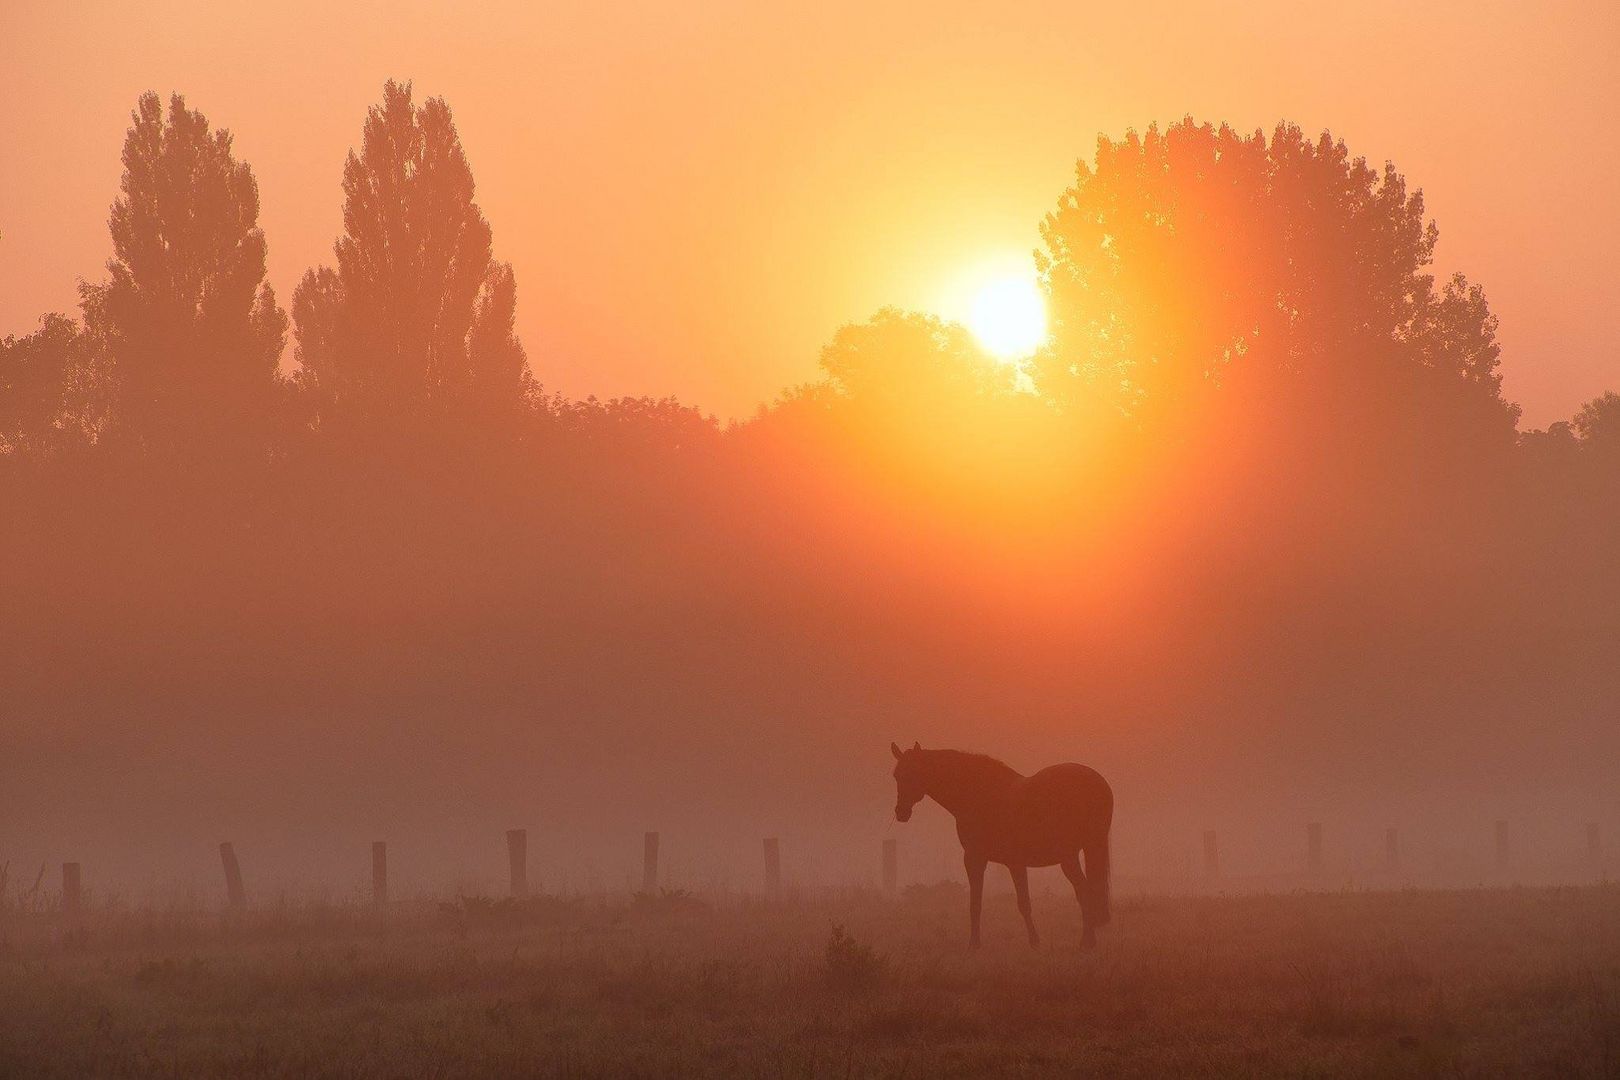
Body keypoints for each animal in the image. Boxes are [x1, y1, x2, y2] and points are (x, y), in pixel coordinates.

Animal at [887, 738, 1114, 952]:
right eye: (897, 776)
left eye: (913, 774)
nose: (901, 812)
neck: (978, 794)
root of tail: (1097, 783)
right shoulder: (1012, 864)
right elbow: (1017, 903)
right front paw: (1032, 942)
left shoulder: (976, 859)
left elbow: (981, 903)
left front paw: (975, 945)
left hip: (1069, 857)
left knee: (1085, 892)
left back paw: (1087, 942)